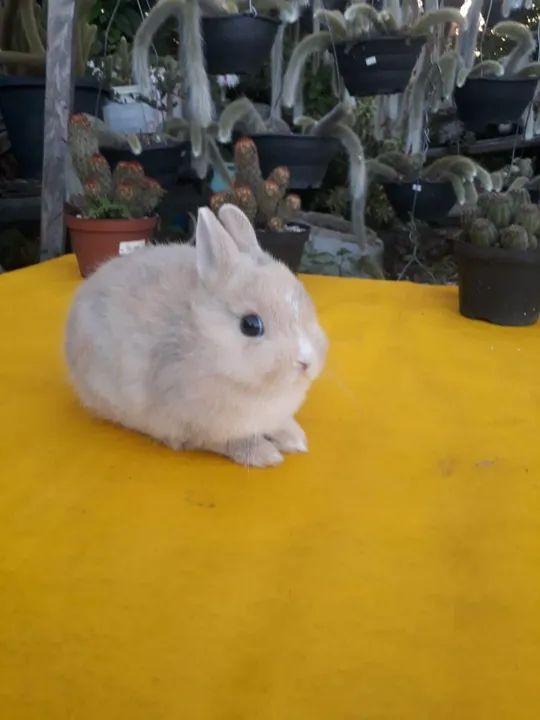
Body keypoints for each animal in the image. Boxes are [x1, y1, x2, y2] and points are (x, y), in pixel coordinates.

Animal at [65, 204, 328, 467]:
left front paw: (295, 439)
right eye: (251, 325)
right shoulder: (198, 427)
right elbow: (230, 441)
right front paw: (266, 455)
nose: (306, 362)